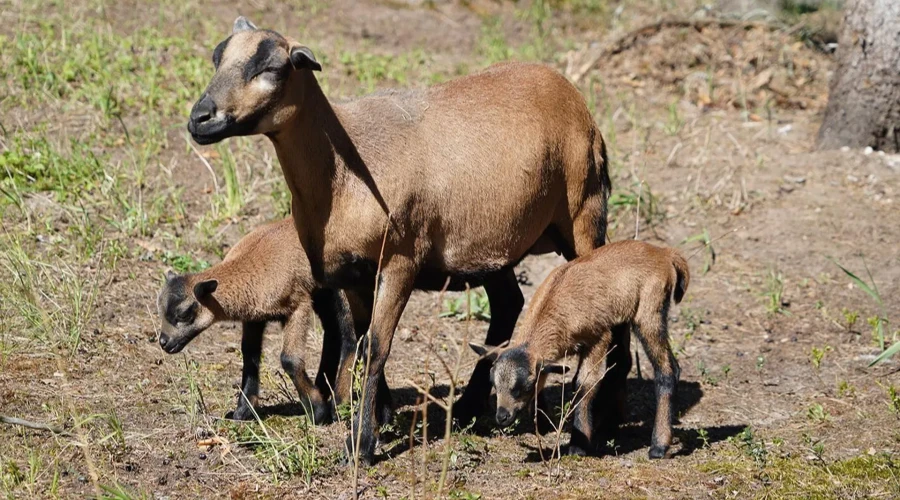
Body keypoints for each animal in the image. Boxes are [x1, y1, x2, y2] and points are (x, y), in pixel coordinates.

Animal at [186, 18, 616, 464]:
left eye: (272, 68)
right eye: (217, 57)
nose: (200, 118)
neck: (341, 173)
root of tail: (569, 90)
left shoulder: (399, 261)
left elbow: (377, 347)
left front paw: (360, 444)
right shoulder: (355, 274)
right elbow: (360, 341)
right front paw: (380, 417)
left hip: (582, 214)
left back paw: (597, 427)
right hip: (493, 244)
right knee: (507, 305)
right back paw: (468, 407)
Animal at [472, 240, 688, 458]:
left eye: (525, 387)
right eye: (493, 383)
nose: (502, 417)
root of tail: (664, 253)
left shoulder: (598, 337)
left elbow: (584, 383)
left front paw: (578, 445)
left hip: (650, 312)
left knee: (667, 370)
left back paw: (659, 446)